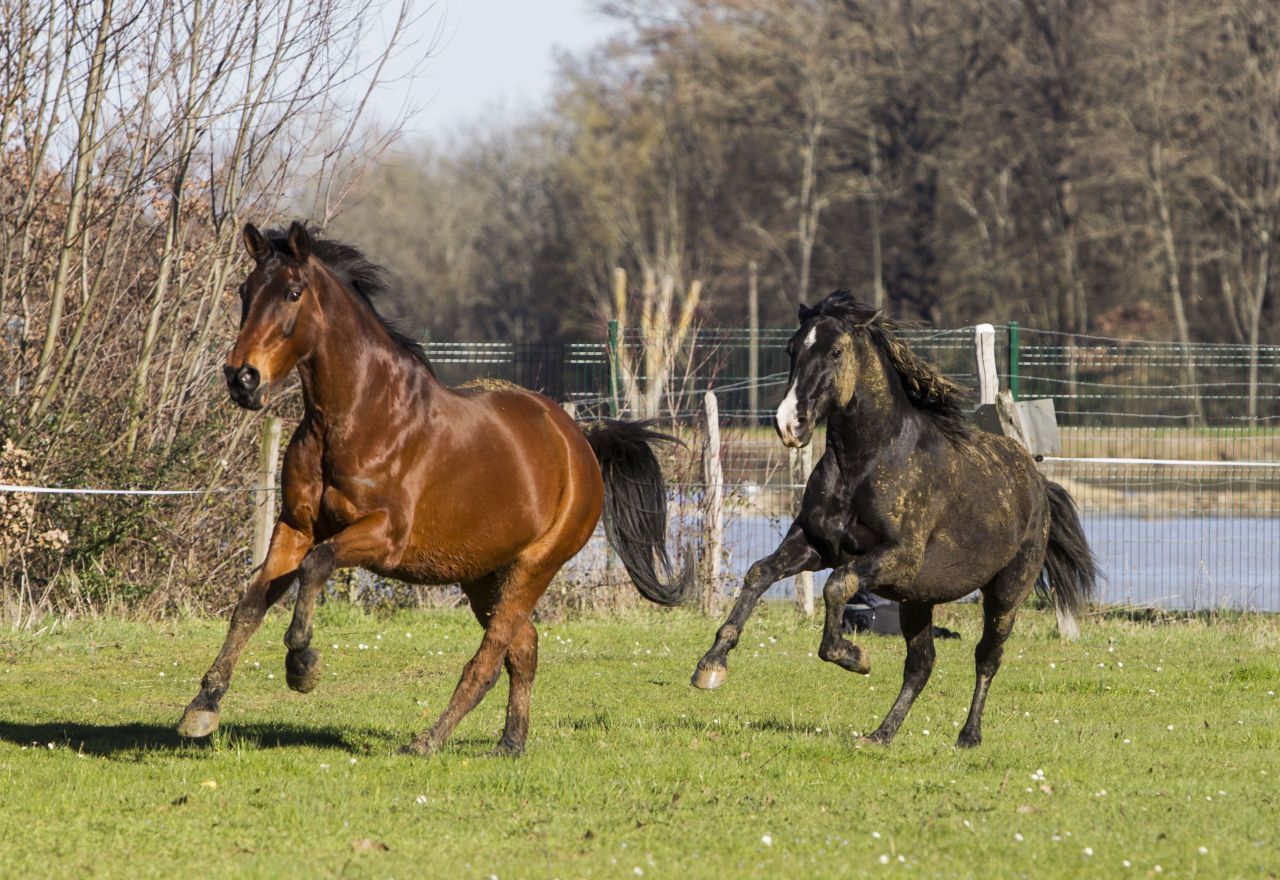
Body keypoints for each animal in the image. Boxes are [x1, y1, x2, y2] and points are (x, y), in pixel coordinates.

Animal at [177, 221, 691, 756]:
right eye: (245, 291)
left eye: (293, 293)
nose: (241, 378)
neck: (357, 416)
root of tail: (581, 442)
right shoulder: (294, 527)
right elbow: (251, 603)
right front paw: (203, 707)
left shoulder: (383, 536)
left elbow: (316, 566)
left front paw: (302, 664)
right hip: (483, 574)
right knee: (523, 648)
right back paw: (510, 743)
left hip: (533, 568)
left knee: (490, 659)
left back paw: (429, 739)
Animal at [690, 290, 1098, 747]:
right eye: (792, 349)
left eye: (835, 351)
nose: (789, 424)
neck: (865, 463)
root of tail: (1036, 479)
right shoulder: (815, 545)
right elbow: (760, 573)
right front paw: (711, 665)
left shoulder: (896, 556)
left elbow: (837, 586)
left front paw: (854, 657)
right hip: (917, 600)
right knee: (921, 664)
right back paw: (881, 734)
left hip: (1005, 594)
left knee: (987, 657)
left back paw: (968, 735)